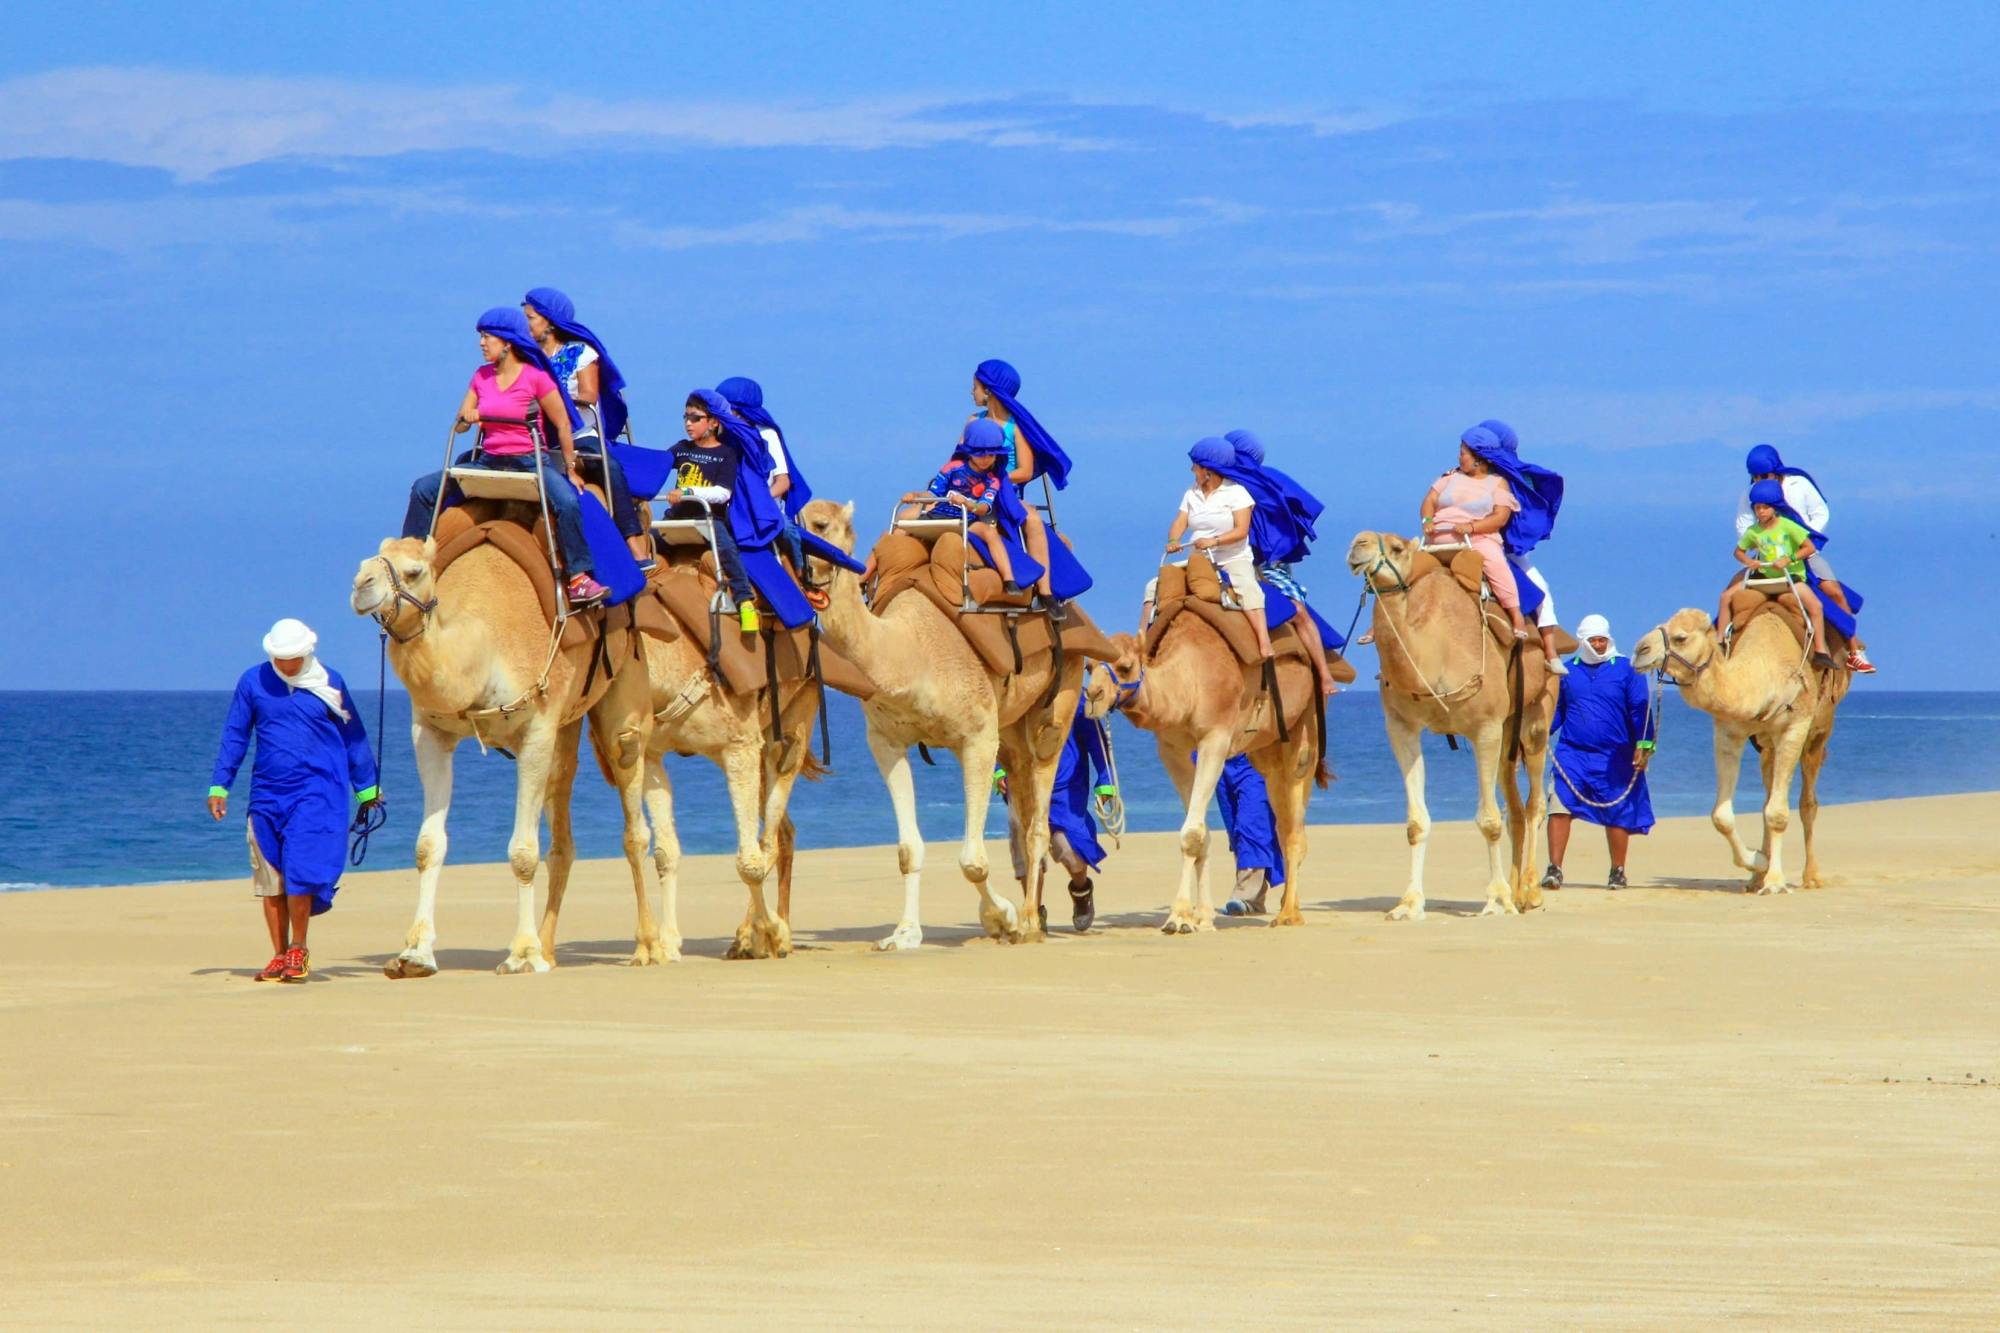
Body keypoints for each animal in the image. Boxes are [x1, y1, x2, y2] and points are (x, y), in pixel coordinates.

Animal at [346, 532, 656, 976]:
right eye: (365, 562)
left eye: (414, 571)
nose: (361, 586)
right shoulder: (430, 732)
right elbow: (428, 845)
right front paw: (415, 953)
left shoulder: (536, 731)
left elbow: (523, 851)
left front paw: (522, 954)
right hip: (567, 725)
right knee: (562, 819)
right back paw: (550, 949)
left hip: (624, 684)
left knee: (632, 814)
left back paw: (648, 946)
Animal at [796, 496, 1088, 944]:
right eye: (786, 517)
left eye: (822, 525)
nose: (803, 566)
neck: (910, 653)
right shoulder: (886, 741)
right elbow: (908, 850)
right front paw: (903, 934)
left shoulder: (977, 737)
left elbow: (973, 859)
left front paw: (1002, 917)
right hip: (1011, 727)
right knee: (1021, 800)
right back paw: (1033, 912)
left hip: (1061, 693)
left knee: (1039, 811)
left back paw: (1029, 923)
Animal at [1104, 608, 1320, 928]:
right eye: (1088, 665)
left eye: (1125, 667)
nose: (1093, 695)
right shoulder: (1172, 749)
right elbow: (1200, 831)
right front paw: (1201, 916)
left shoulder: (1215, 738)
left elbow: (1193, 833)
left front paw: (1180, 917)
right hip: (1267, 751)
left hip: (1302, 729)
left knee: (1293, 825)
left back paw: (1288, 914)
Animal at [1352, 528, 1552, 912]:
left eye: (1396, 548)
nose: (1358, 545)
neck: (1435, 653)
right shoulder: (1401, 727)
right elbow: (1416, 823)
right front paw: (1409, 903)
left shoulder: (1485, 726)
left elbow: (1489, 820)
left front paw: (1496, 899)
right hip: (1509, 729)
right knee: (1515, 806)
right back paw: (1517, 887)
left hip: (1537, 717)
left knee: (1535, 802)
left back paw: (1530, 892)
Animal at [1632, 608, 1848, 888]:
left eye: (1681, 637)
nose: (1640, 650)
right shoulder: (1728, 731)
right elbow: (1722, 816)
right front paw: (1759, 862)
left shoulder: (1795, 727)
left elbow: (1778, 812)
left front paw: (1775, 881)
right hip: (1766, 747)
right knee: (1767, 796)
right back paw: (1757, 878)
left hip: (1818, 734)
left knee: (1807, 801)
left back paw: (1811, 877)